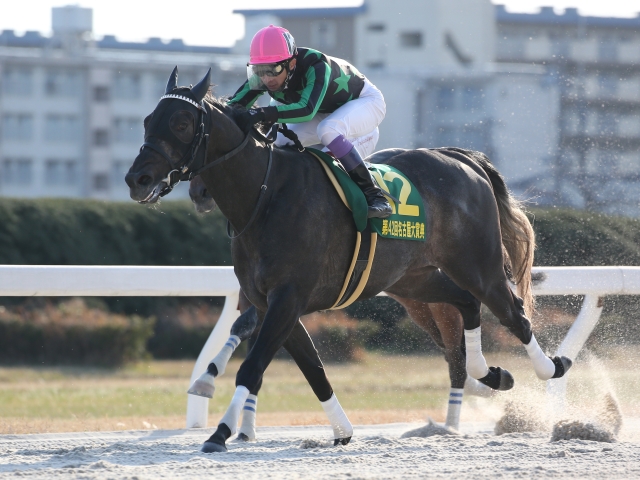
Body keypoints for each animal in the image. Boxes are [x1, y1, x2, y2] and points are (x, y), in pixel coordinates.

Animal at [125, 68, 568, 454]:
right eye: (148, 120)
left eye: (182, 123)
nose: (137, 180)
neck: (266, 196)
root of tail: (461, 158)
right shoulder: (273, 304)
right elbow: (313, 370)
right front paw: (342, 431)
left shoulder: (287, 299)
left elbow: (252, 367)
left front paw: (219, 433)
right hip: (412, 279)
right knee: (466, 303)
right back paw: (489, 373)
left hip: (478, 264)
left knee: (513, 314)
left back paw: (552, 367)